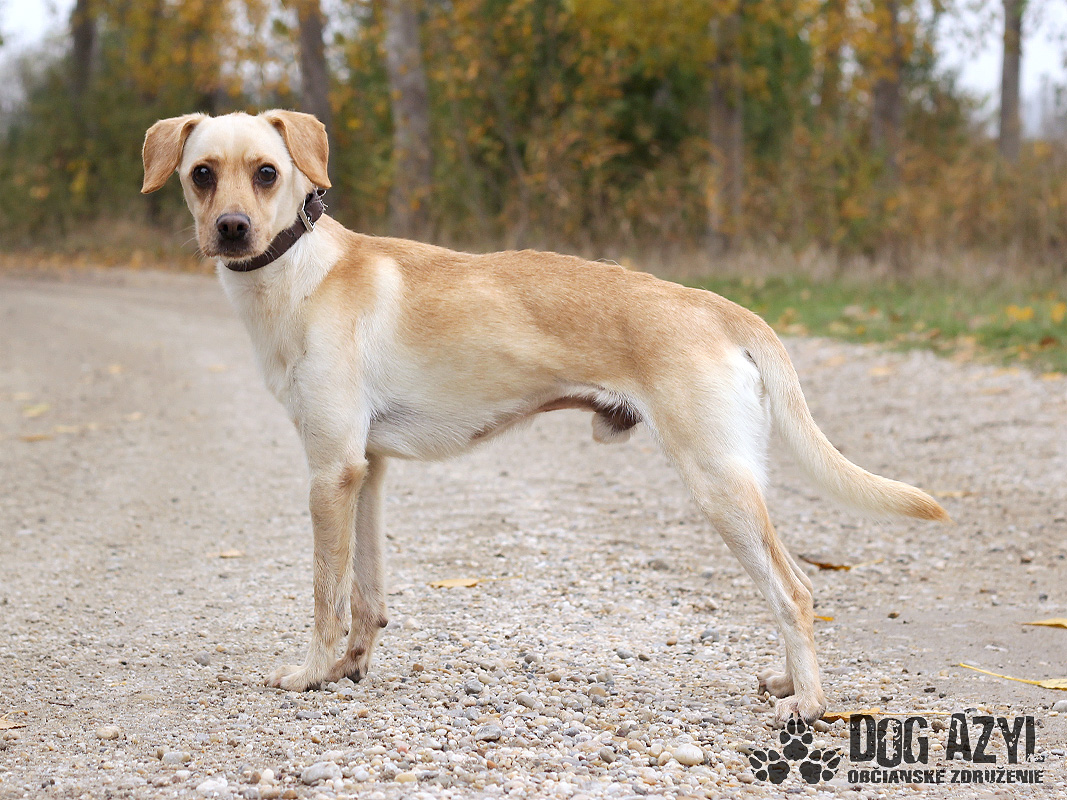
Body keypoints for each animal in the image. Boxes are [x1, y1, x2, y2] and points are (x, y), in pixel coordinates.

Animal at [141, 110, 948, 724]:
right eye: (202, 173)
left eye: (267, 172)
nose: (232, 228)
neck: (301, 273)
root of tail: (718, 306)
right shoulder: (364, 472)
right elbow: (366, 595)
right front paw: (349, 668)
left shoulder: (328, 472)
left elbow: (324, 594)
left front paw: (309, 674)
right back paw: (787, 681)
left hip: (719, 485)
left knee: (795, 592)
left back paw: (807, 703)